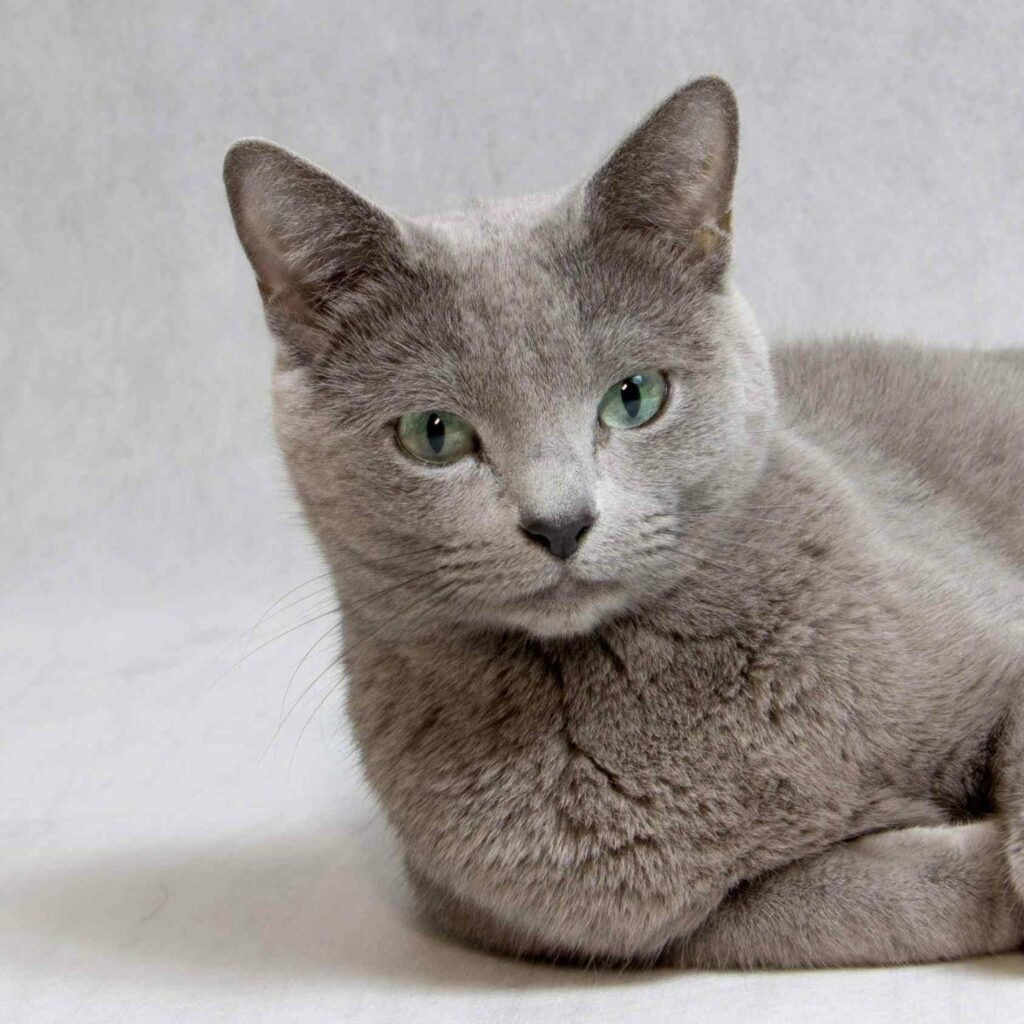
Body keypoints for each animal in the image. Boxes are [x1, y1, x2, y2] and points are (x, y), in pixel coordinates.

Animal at [224, 79, 1024, 966]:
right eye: (434, 435)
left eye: (634, 397)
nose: (560, 522)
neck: (629, 680)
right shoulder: (662, 921)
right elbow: (856, 901)